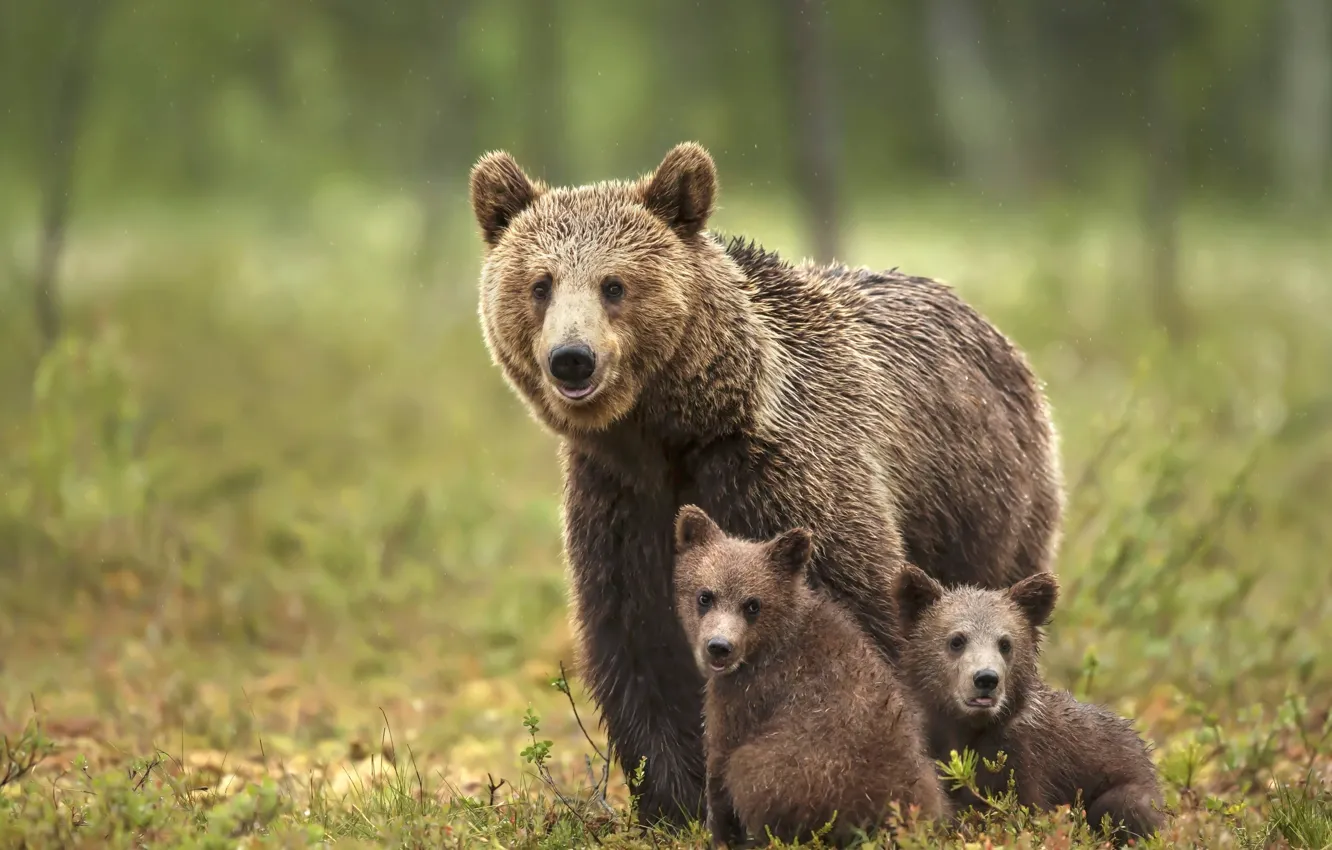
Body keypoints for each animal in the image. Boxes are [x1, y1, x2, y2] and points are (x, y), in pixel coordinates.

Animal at [672, 505, 948, 848]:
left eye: (753, 604)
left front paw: (719, 834)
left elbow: (719, 765)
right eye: (705, 595)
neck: (768, 642)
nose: (719, 647)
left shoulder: (746, 698)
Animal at [890, 564, 1165, 845]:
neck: (968, 729)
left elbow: (1027, 813)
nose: (986, 678)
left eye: (1005, 643)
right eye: (957, 640)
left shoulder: (1026, 760)